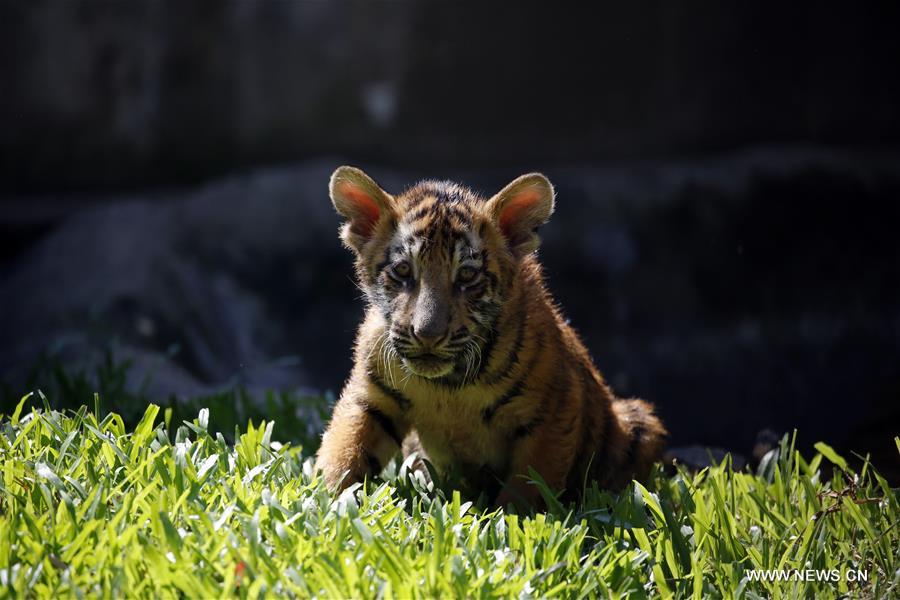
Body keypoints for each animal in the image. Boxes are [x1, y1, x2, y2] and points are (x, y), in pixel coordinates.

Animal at [314, 166, 667, 508]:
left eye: (467, 275)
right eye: (402, 271)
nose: (428, 335)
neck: (447, 385)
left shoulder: (554, 408)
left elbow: (529, 484)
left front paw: (515, 518)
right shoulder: (370, 398)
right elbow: (344, 450)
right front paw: (327, 503)